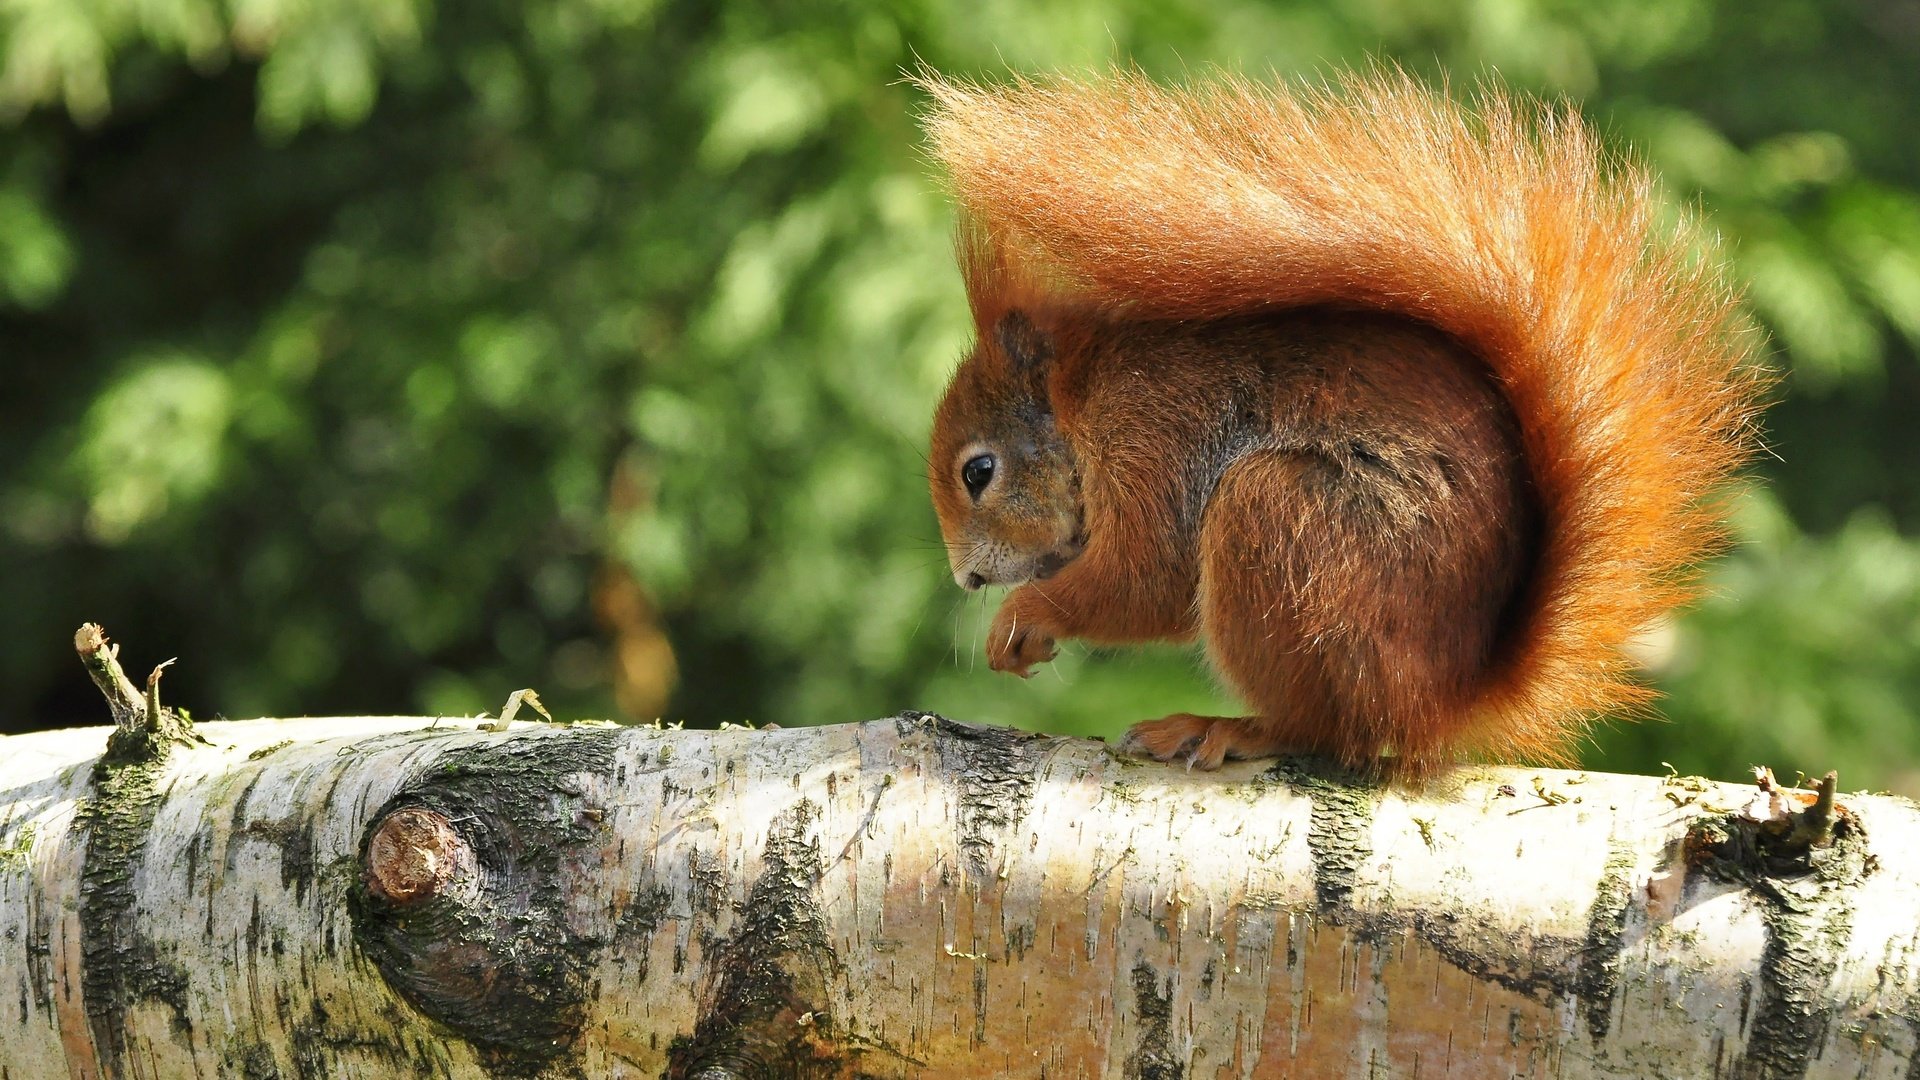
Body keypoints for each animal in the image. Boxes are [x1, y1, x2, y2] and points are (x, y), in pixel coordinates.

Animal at [913, 69, 1766, 772]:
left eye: (979, 471)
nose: (970, 578)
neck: (1078, 397)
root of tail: (1443, 698)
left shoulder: (1154, 432)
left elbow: (1145, 580)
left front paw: (1024, 617)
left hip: (1283, 523)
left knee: (1328, 730)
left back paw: (1226, 727)